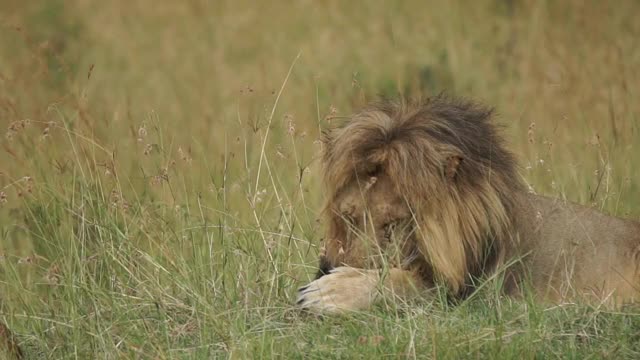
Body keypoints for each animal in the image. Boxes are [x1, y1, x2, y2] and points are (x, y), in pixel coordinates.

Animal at [298, 94, 640, 314]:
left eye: (393, 224)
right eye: (348, 217)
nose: (330, 269)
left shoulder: (469, 293)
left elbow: (399, 281)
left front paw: (330, 291)